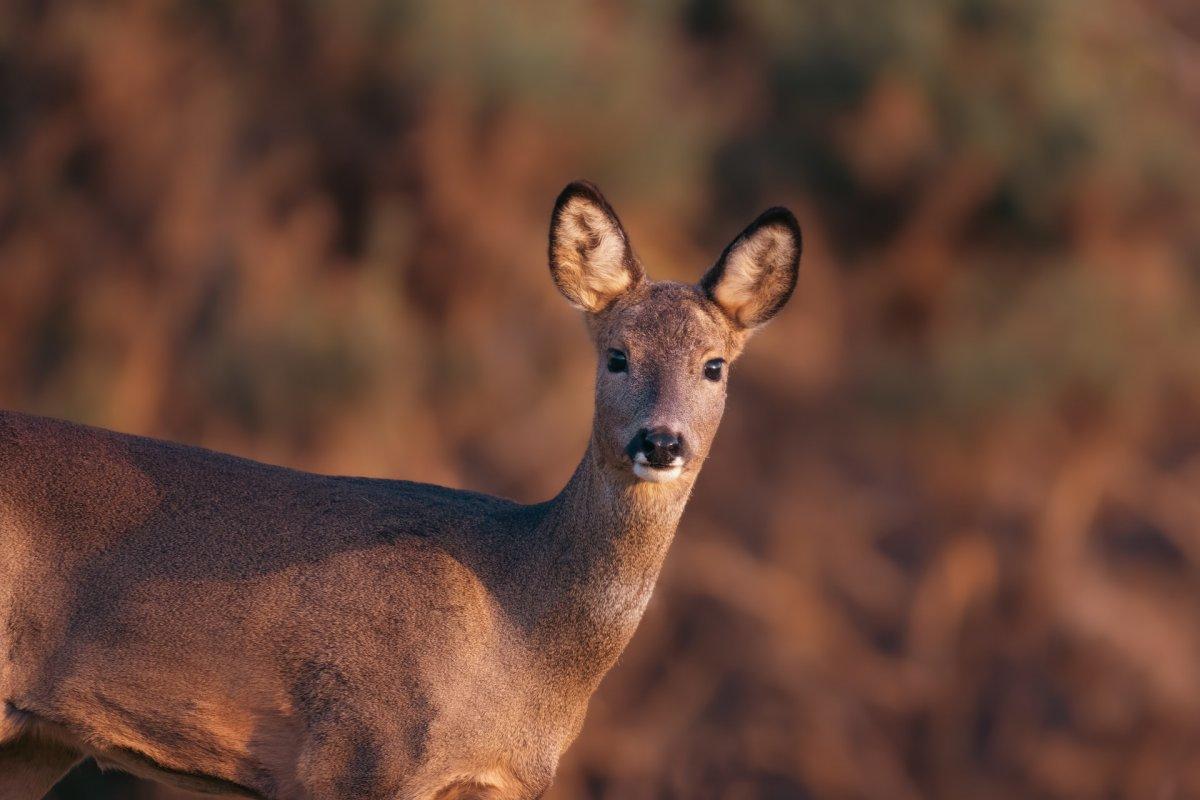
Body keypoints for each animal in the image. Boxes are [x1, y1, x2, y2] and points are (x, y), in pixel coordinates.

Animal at [2, 183, 806, 800]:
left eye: (713, 366)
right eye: (616, 356)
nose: (660, 442)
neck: (523, 624)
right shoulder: (355, 755)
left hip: (34, 741)